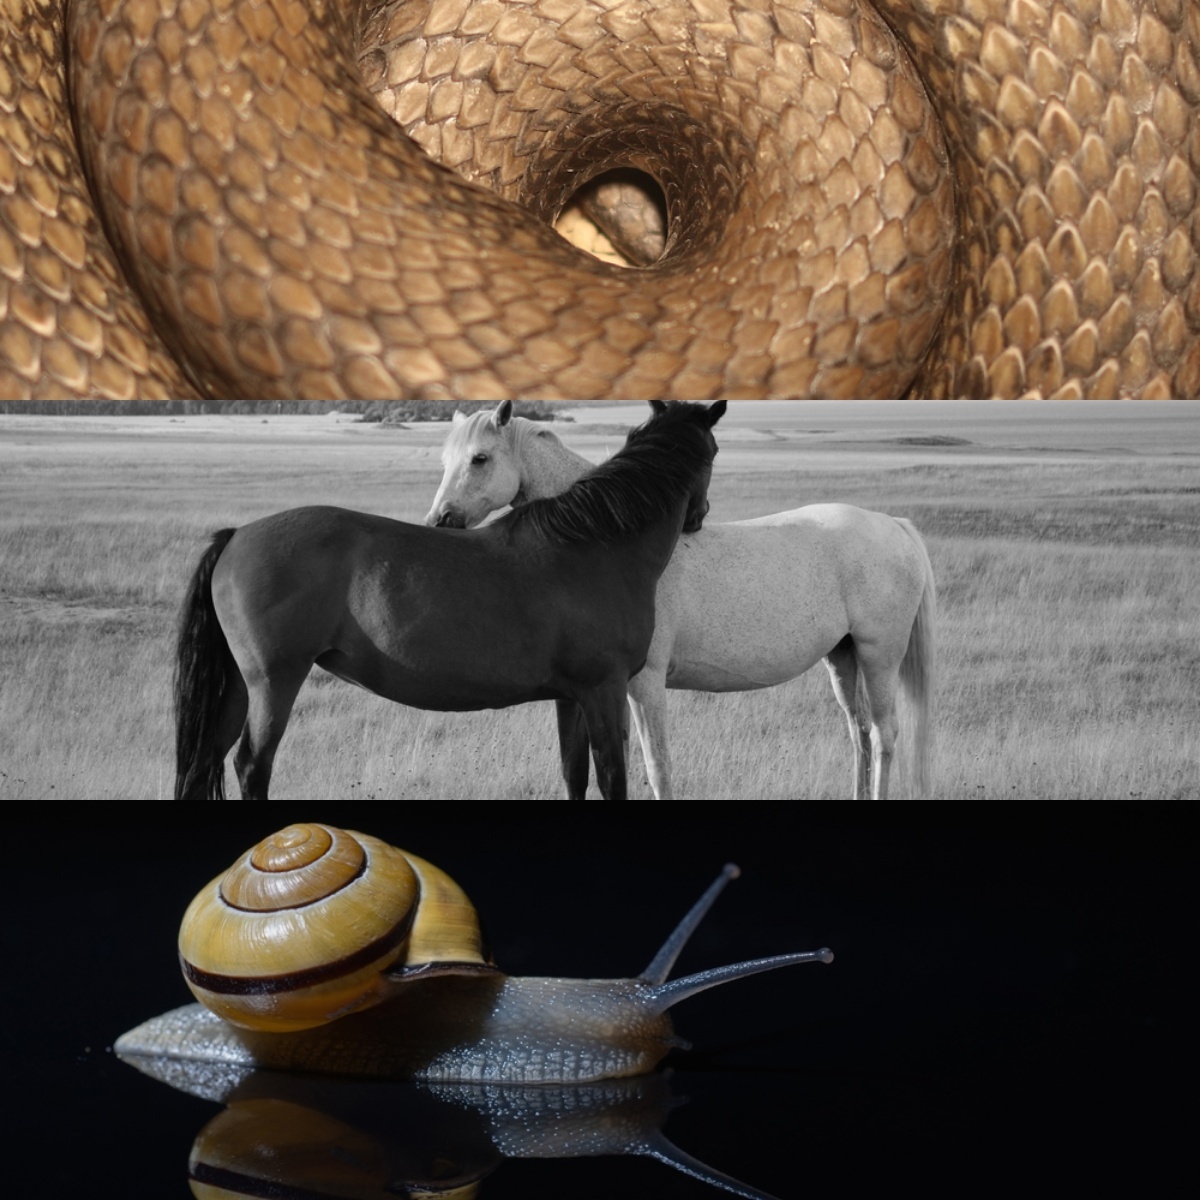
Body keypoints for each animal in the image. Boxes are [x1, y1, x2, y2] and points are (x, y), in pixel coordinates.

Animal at [174, 399, 726, 801]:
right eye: (716, 451)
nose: (699, 516)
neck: (594, 543)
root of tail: (236, 536)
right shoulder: (604, 690)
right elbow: (612, 777)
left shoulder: (571, 697)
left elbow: (574, 774)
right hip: (273, 683)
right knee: (251, 764)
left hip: (237, 688)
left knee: (205, 761)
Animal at [427, 402, 936, 801]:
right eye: (444, 459)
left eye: (479, 458)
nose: (439, 521)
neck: (607, 539)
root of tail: (894, 524)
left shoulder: (645, 684)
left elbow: (657, 768)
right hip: (842, 657)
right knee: (859, 734)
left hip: (879, 655)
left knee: (883, 735)